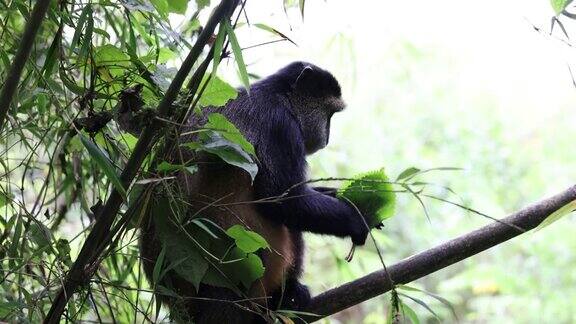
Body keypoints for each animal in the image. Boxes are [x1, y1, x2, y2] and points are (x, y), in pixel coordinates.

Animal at [139, 62, 368, 322]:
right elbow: (284, 201)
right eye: (329, 114)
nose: (327, 138)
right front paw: (356, 220)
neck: (279, 95)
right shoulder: (279, 126)